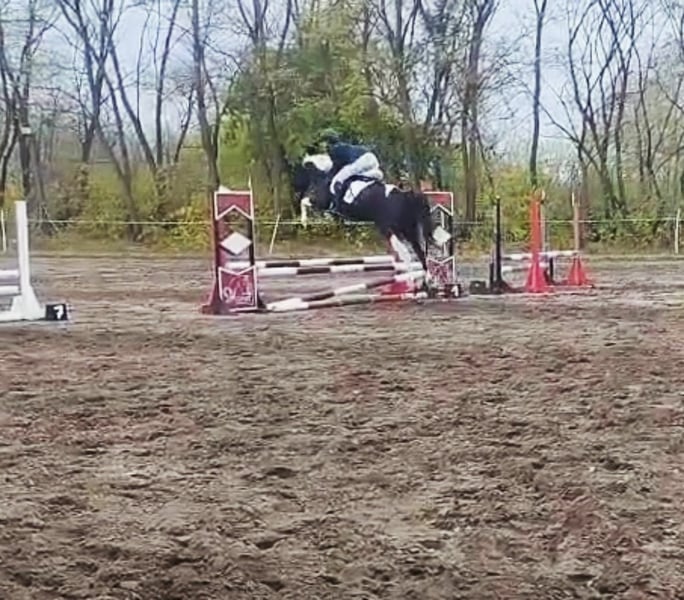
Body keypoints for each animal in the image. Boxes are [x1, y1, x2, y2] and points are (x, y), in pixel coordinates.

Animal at [294, 154, 437, 276]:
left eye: (298, 172)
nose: (296, 190)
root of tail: (405, 196)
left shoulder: (323, 202)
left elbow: (304, 202)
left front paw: (304, 222)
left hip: (389, 229)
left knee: (406, 254)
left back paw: (411, 279)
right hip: (408, 230)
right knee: (420, 253)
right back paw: (427, 280)